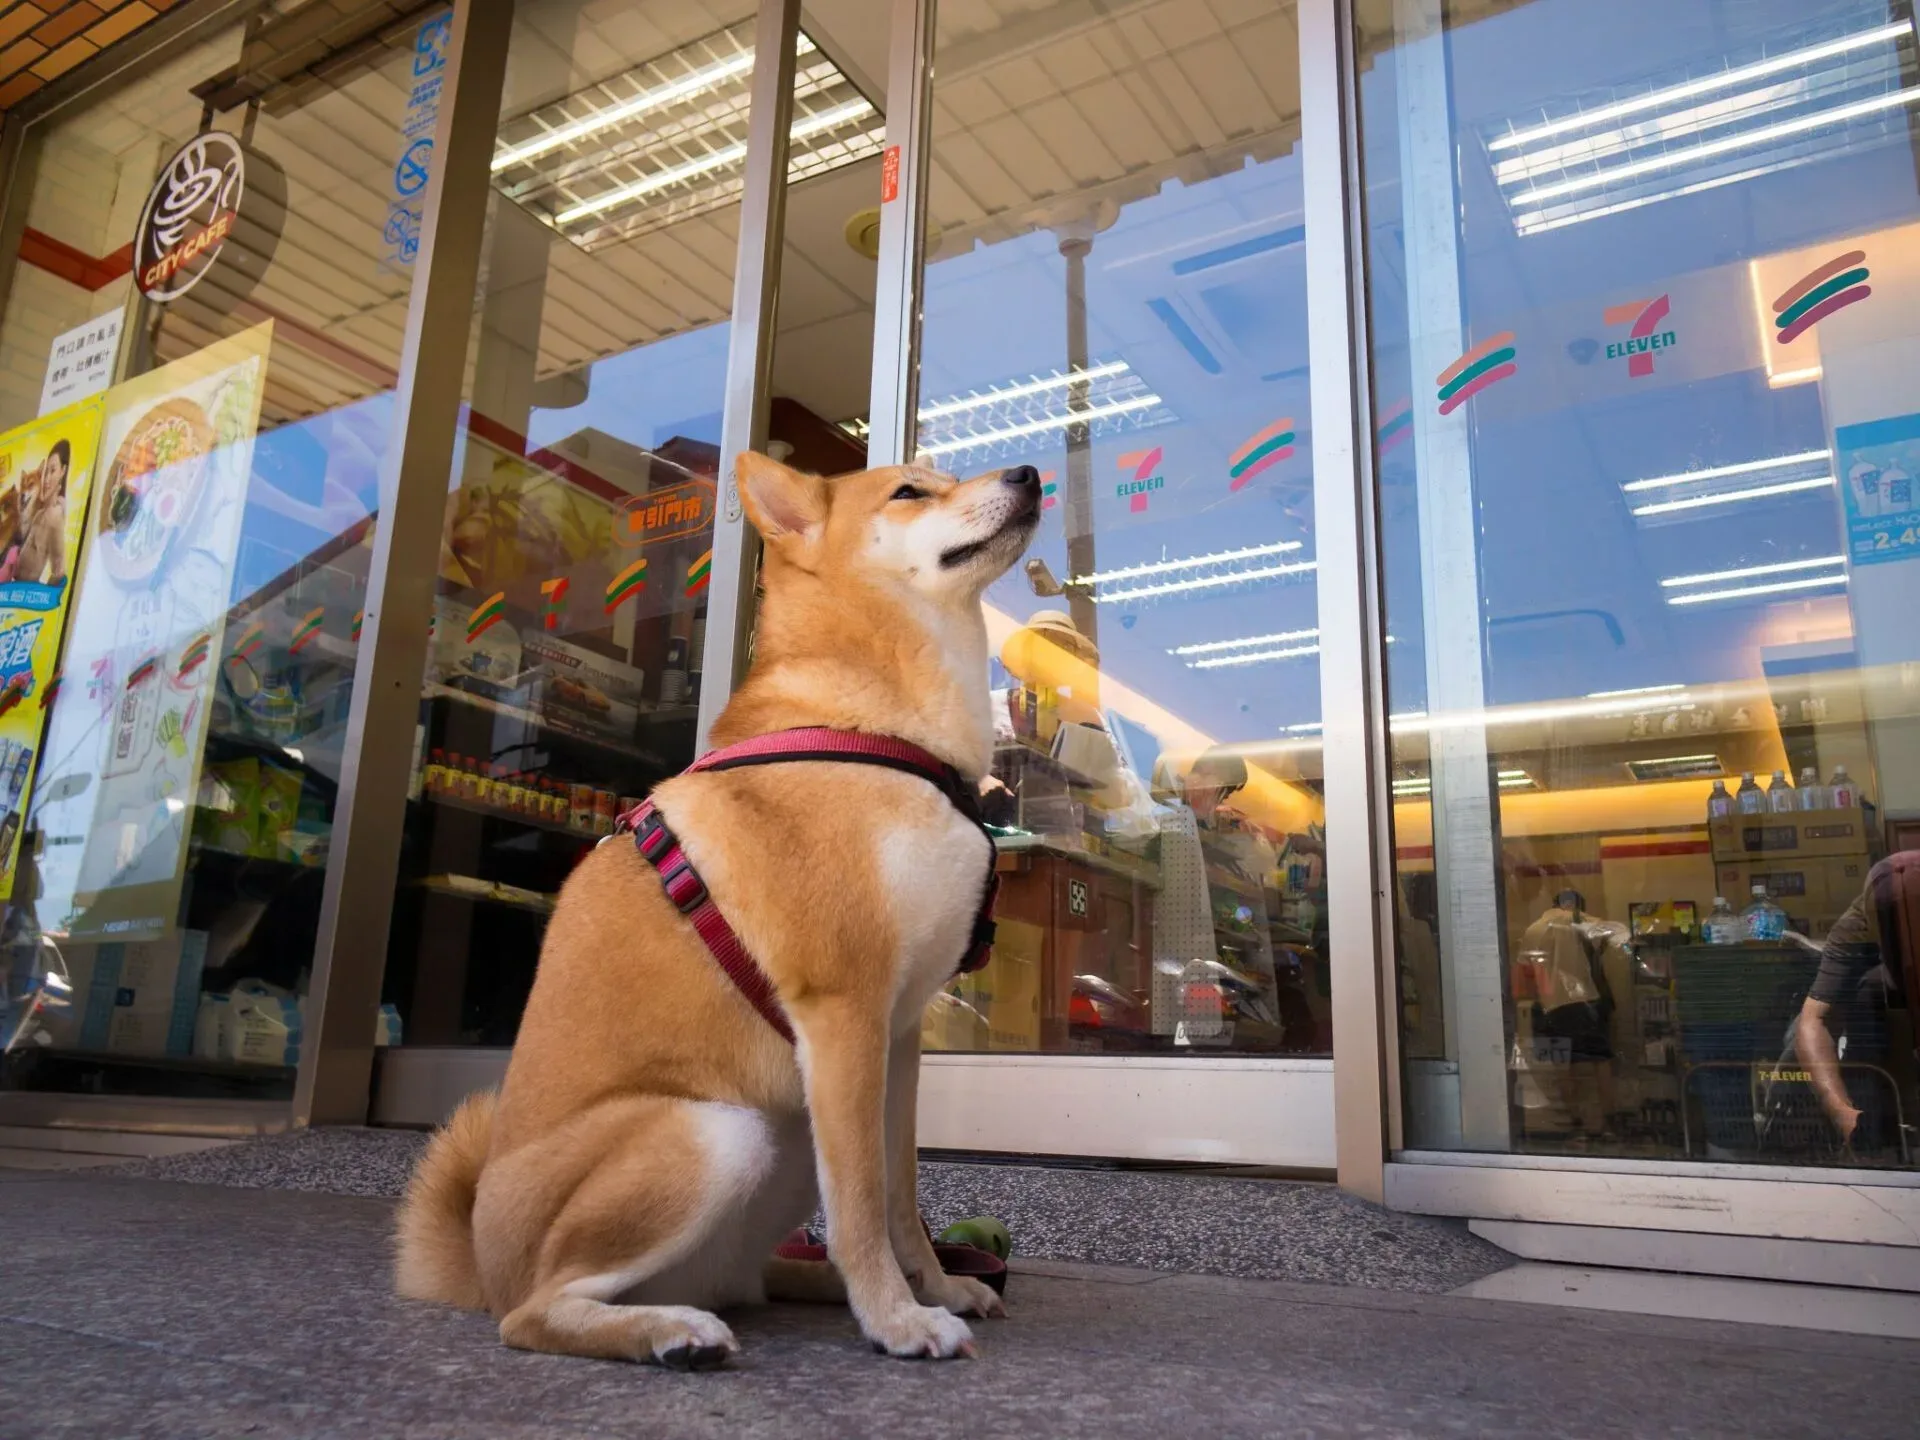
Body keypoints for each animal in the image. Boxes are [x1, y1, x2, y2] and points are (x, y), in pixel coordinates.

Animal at [395, 456, 1044, 1367]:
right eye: (910, 491)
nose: (1028, 469)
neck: (866, 725)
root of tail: (484, 1265)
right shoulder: (844, 1011)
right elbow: (860, 1205)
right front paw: (898, 1319)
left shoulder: (898, 1034)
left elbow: (897, 1192)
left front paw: (937, 1288)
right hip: (715, 1133)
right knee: (534, 1314)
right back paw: (670, 1330)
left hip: (788, 1134)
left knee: (751, 1278)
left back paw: (796, 1289)